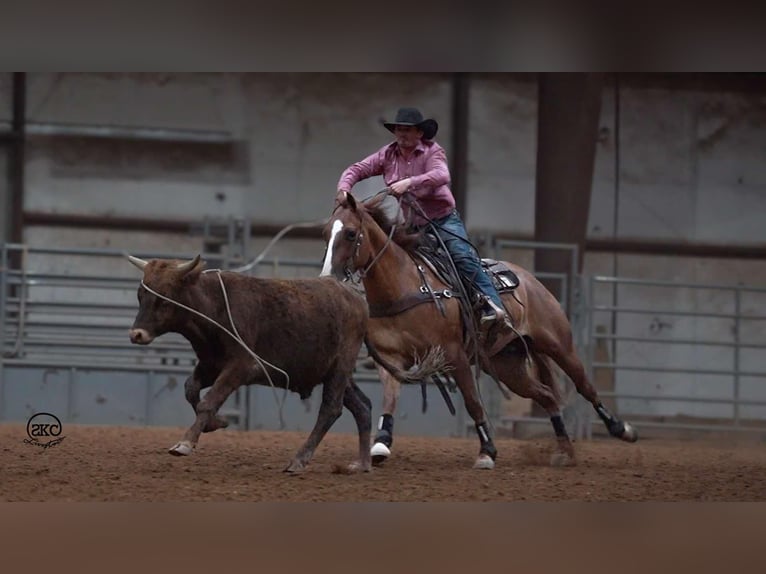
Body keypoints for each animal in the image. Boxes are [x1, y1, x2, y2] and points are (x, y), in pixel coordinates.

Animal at [127, 254, 376, 474]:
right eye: (140, 295)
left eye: (163, 297)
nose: (136, 334)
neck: (214, 307)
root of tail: (357, 298)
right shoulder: (211, 365)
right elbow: (191, 389)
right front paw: (215, 423)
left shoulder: (241, 367)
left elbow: (209, 400)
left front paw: (186, 443)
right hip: (330, 372)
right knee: (362, 407)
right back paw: (363, 463)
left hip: (340, 368)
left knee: (331, 409)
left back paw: (299, 459)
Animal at [320, 191, 640, 470]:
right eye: (325, 234)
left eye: (351, 233)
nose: (328, 278)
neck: (403, 286)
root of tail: (529, 279)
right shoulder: (390, 358)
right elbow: (390, 397)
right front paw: (381, 444)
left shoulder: (454, 355)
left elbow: (473, 402)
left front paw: (487, 452)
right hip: (507, 366)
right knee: (547, 395)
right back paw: (564, 451)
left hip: (559, 345)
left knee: (584, 385)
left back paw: (621, 429)